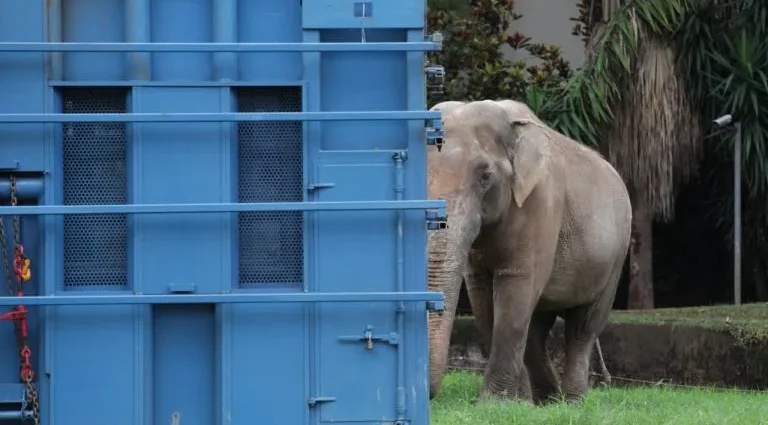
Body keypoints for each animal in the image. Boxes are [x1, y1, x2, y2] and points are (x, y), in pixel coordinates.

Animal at [426, 99, 632, 404]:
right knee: (537, 327)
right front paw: (516, 402)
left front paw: (496, 403)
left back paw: (572, 400)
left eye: (485, 176)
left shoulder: (542, 203)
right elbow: (482, 296)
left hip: (616, 256)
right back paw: (546, 397)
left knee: (583, 326)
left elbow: (517, 284)